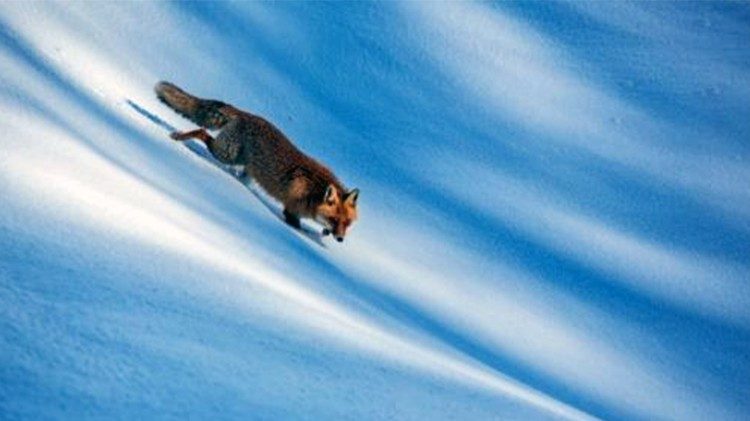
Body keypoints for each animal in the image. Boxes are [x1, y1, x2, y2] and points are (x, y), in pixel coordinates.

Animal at [154, 81, 358, 242]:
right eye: (334, 220)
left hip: (246, 167)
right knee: (201, 132)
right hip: (226, 154)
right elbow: (299, 228)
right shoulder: (291, 211)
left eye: (347, 223)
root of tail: (247, 115)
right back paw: (178, 137)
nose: (340, 239)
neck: (313, 192)